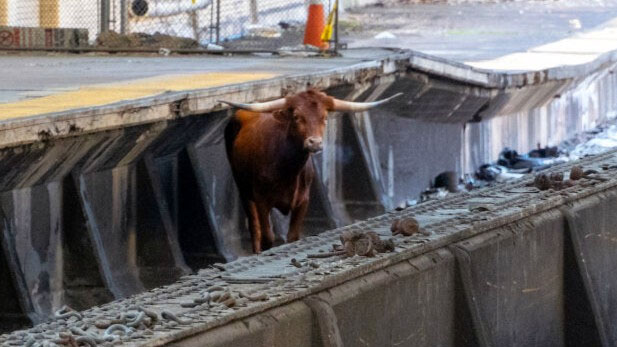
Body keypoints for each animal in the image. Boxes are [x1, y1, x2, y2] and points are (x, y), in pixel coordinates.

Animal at [220, 89, 400, 253]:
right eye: (297, 117)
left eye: (325, 117)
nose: (315, 143)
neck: (286, 170)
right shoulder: (262, 200)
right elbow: (267, 238)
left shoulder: (303, 201)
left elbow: (293, 236)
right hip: (244, 190)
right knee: (254, 227)